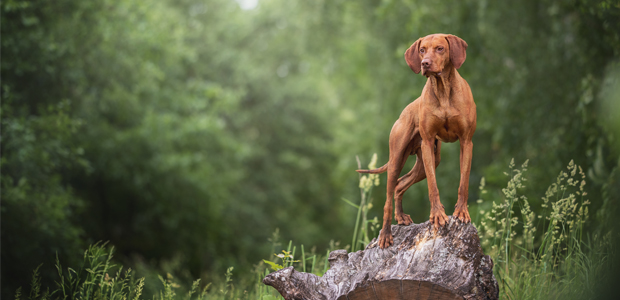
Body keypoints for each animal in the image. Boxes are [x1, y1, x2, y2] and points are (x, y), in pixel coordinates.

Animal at [356, 33, 478, 248]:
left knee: (400, 185)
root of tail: (405, 111)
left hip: (428, 160)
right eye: (422, 50)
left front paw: (461, 212)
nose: (425, 63)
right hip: (398, 158)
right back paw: (386, 234)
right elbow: (433, 186)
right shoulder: (428, 142)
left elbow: (463, 182)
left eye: (440, 48)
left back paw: (401, 217)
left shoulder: (466, 142)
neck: (443, 90)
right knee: (389, 198)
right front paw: (437, 214)